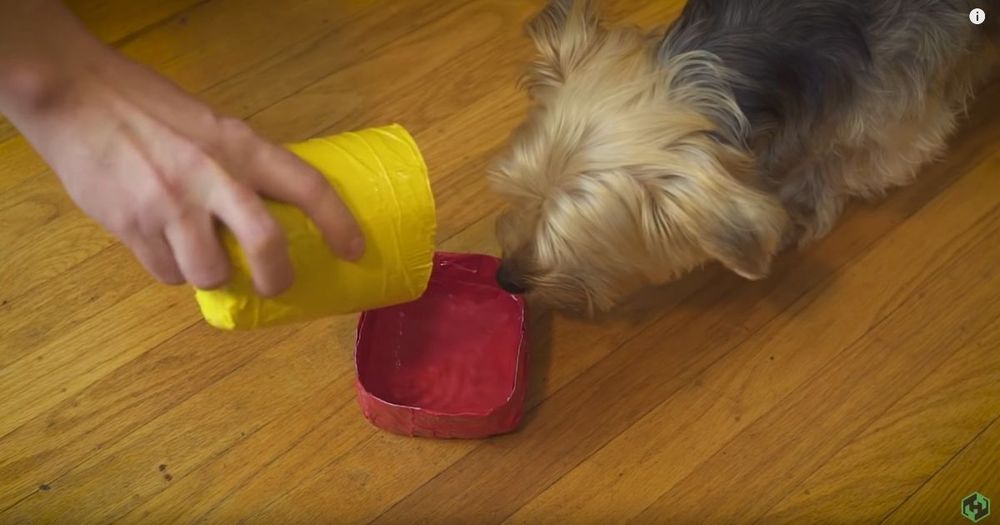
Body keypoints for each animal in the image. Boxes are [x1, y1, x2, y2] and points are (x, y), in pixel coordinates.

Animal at [492, 0, 1000, 316]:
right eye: (518, 200)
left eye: (589, 249)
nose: (505, 279)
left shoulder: (902, 120)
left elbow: (858, 163)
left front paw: (799, 206)